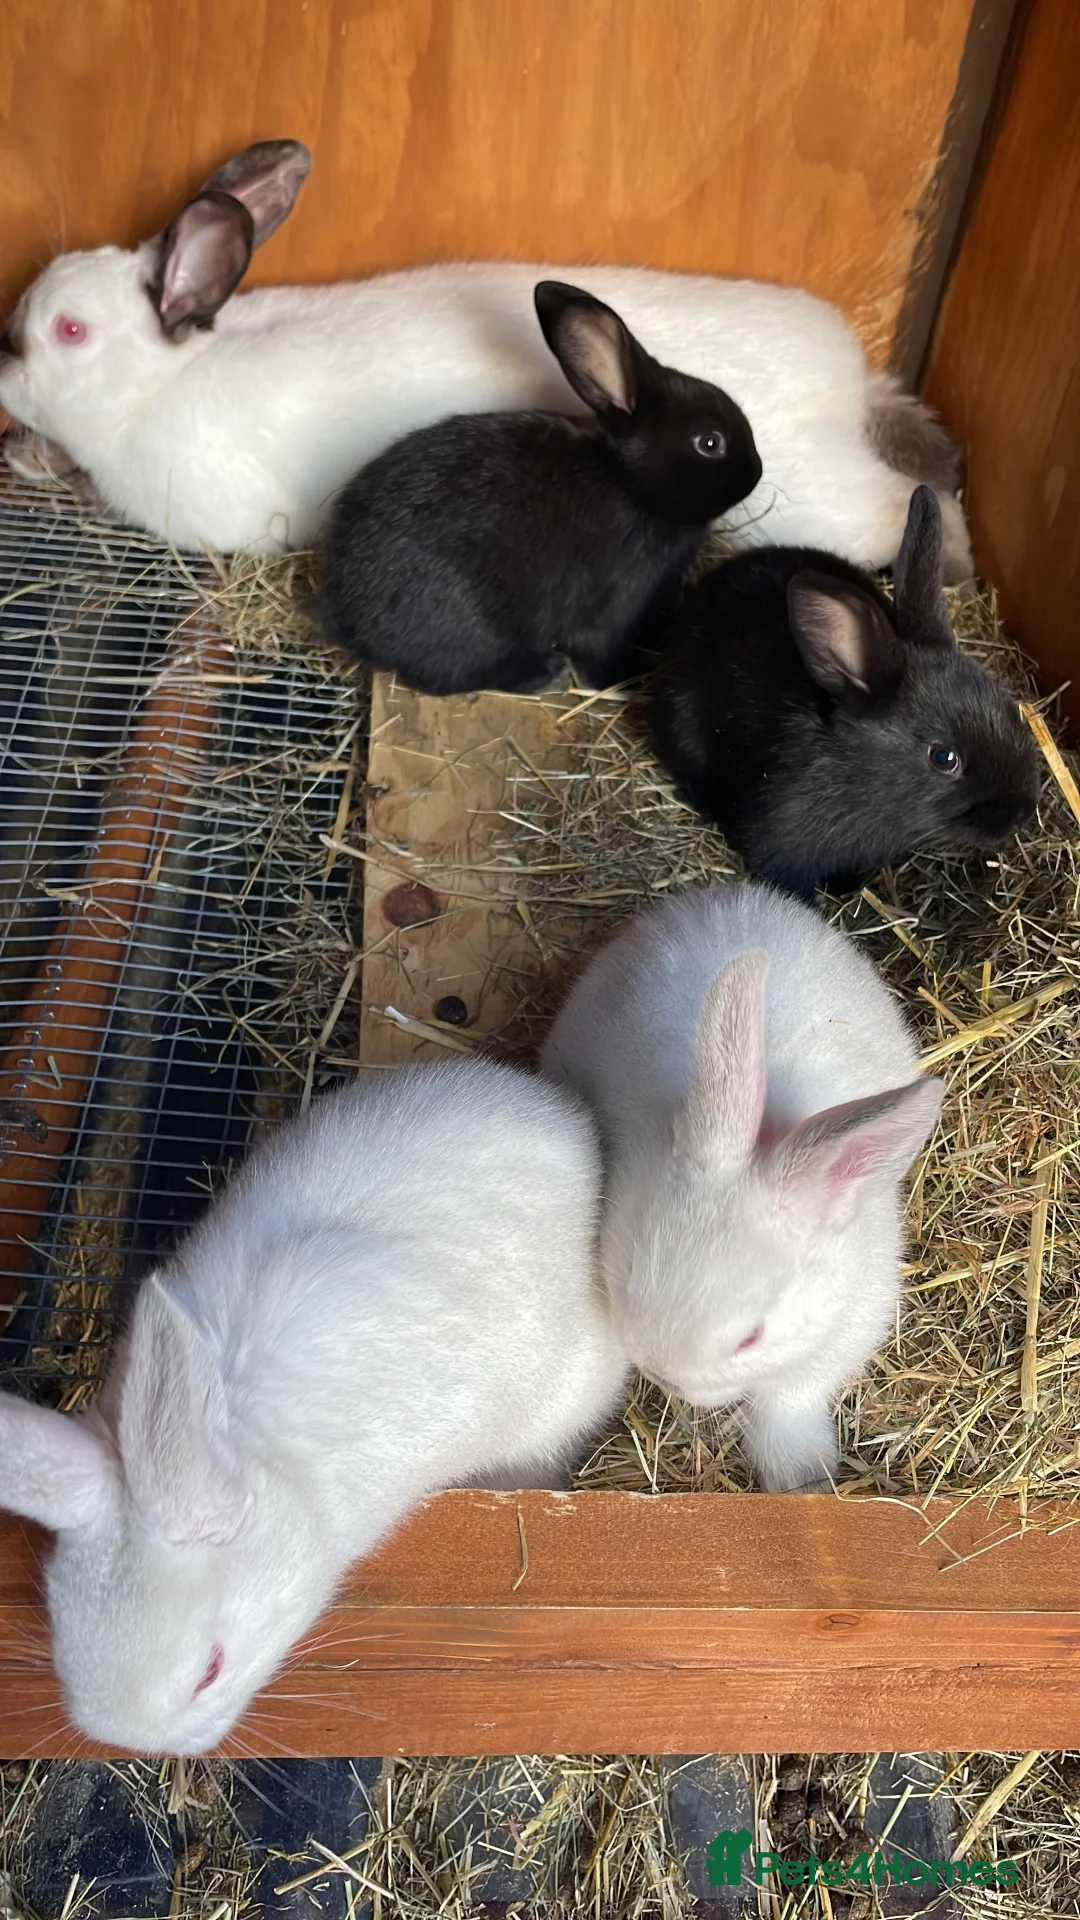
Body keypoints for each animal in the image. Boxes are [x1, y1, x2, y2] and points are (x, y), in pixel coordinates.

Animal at [0, 141, 972, 573]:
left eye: (70, 331)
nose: (3, 368)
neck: (160, 385)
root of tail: (851, 376)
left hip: (805, 503)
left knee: (905, 507)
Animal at [316, 281, 762, 695]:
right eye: (710, 443)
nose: (756, 472)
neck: (632, 484)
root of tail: (345, 612)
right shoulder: (612, 609)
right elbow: (600, 652)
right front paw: (629, 681)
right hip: (474, 626)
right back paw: (541, 673)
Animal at [540, 884, 944, 1493]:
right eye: (631, 1269)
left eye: (751, 1337)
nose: (664, 1375)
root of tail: (733, 894)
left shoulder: (840, 1337)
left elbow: (787, 1405)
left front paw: (805, 1478)